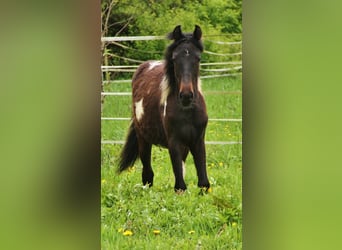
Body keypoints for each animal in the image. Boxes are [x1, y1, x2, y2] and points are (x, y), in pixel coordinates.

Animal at [117, 25, 210, 192]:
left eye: (198, 58)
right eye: (174, 58)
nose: (186, 96)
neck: (187, 111)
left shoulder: (198, 141)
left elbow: (203, 183)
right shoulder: (174, 142)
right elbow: (180, 186)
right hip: (143, 139)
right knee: (147, 174)